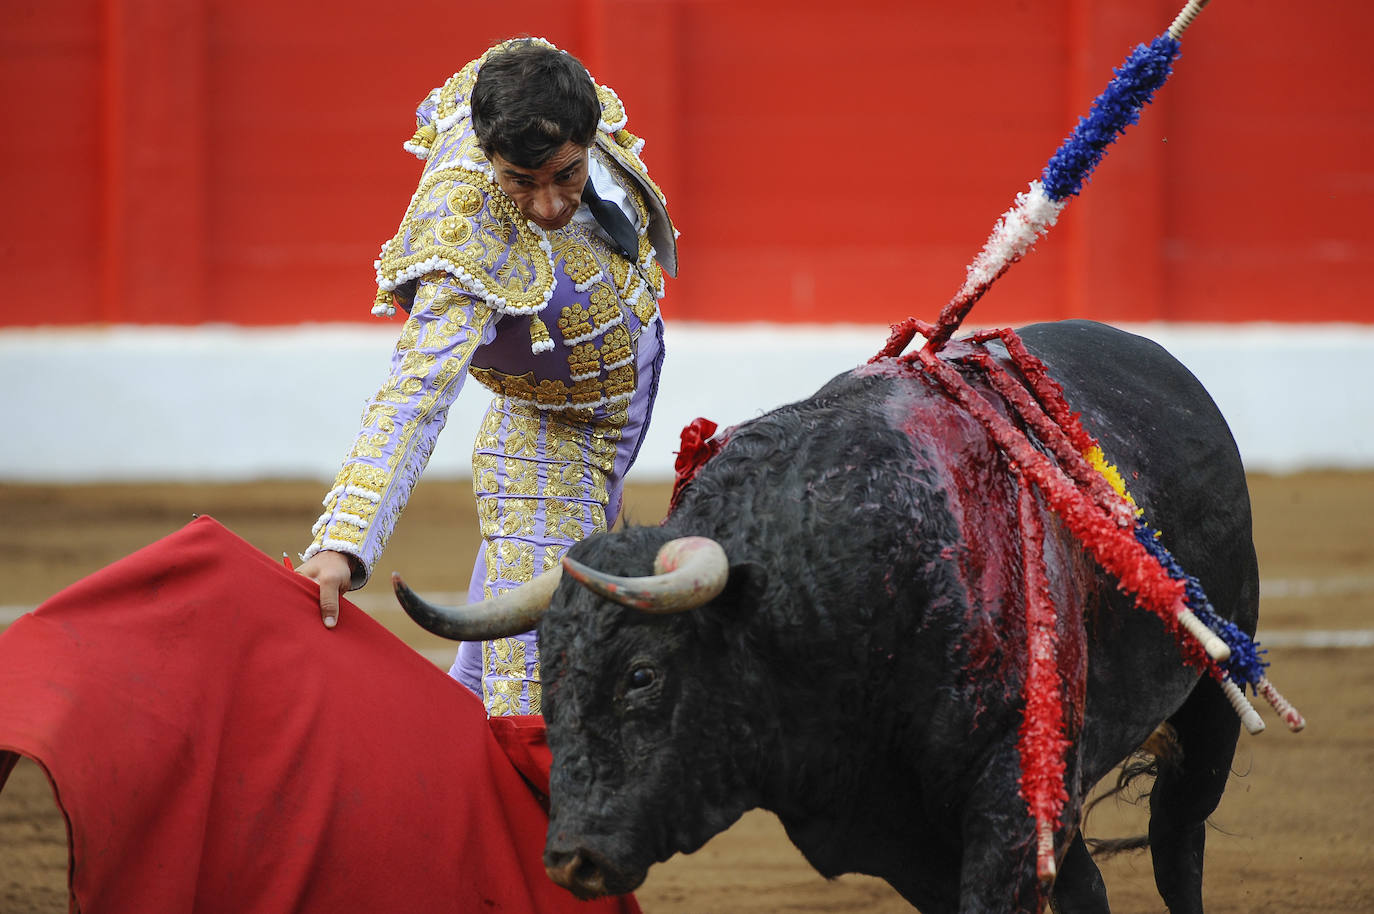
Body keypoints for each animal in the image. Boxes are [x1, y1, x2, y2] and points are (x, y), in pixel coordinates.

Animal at [414, 317, 1258, 907]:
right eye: (548, 680)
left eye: (643, 676)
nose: (572, 860)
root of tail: (1159, 360)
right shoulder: (898, 834)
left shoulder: (1007, 796)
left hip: (1211, 703)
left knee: (1178, 839)